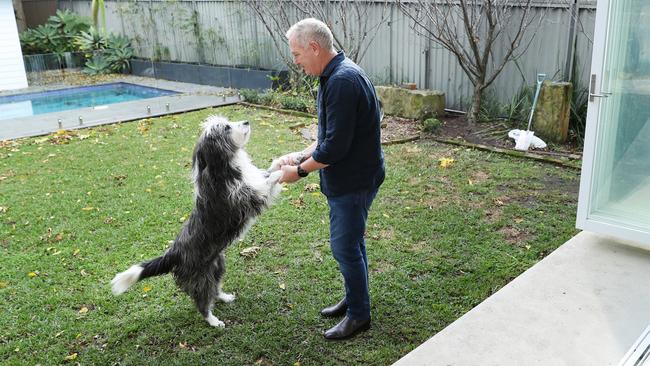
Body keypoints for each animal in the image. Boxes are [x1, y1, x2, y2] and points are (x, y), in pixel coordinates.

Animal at [110, 116, 280, 328]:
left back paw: (224, 297)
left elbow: (267, 172)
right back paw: (213, 320)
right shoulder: (246, 197)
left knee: (215, 288)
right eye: (226, 127)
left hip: (216, 266)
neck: (221, 166)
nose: (246, 121)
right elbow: (267, 183)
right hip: (200, 277)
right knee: (202, 301)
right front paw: (285, 170)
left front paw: (286, 162)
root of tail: (173, 253)